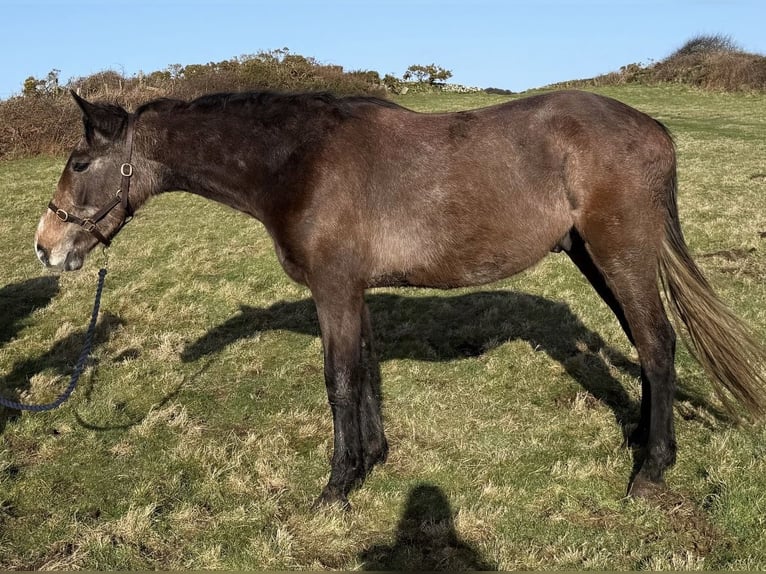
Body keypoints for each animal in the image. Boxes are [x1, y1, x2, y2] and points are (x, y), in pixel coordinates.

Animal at [34, 89, 766, 508]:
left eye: (79, 164)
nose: (45, 246)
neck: (300, 163)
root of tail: (655, 128)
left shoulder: (333, 289)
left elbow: (338, 380)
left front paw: (335, 487)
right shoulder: (353, 291)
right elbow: (365, 373)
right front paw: (372, 460)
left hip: (622, 256)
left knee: (658, 345)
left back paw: (651, 471)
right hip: (593, 258)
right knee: (644, 348)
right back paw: (641, 439)